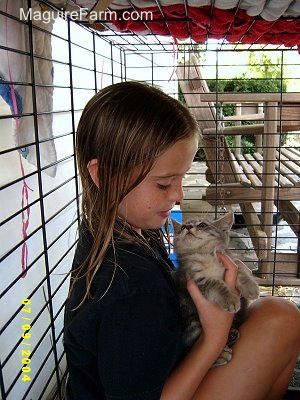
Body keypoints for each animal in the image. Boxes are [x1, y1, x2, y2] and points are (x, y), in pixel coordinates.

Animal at [172, 211, 258, 368]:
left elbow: (240, 268)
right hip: (193, 323)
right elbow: (215, 284)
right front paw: (230, 299)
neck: (205, 255)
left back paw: (232, 335)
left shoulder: (229, 259)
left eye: (202, 225)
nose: (187, 227)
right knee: (191, 348)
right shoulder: (196, 278)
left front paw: (250, 287)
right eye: (181, 227)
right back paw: (221, 355)